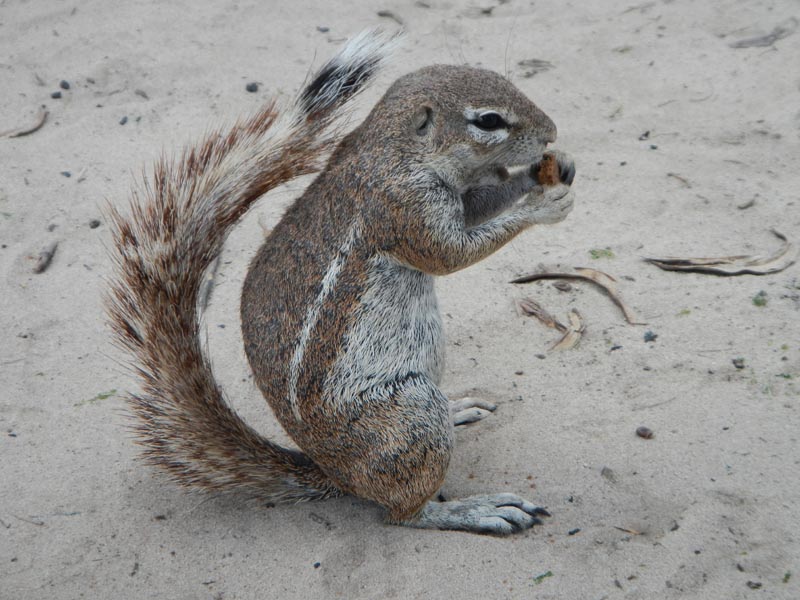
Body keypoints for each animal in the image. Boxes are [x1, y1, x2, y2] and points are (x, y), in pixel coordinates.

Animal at [107, 30, 576, 535]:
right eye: (489, 120)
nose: (551, 132)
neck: (397, 149)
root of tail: (333, 472)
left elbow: (480, 205)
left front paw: (550, 169)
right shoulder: (403, 208)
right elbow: (449, 253)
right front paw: (542, 204)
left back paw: (457, 410)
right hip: (406, 415)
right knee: (403, 512)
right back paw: (471, 509)